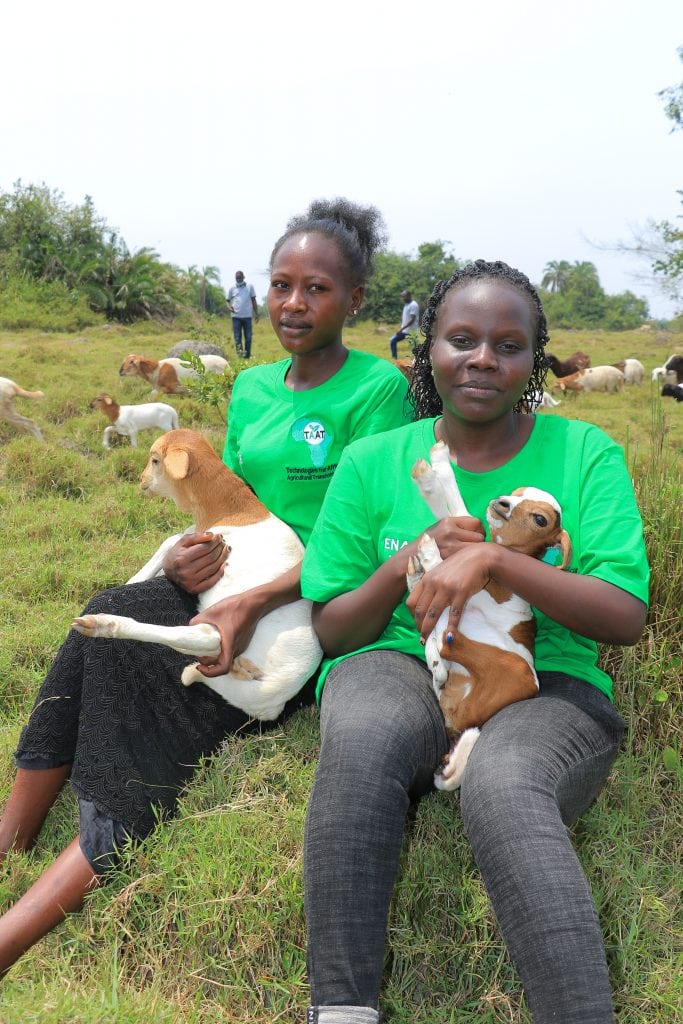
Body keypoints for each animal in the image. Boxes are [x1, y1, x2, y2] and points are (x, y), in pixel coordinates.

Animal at [72, 430, 323, 720]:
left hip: (229, 634)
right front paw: (134, 580)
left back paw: (101, 624)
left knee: (203, 639)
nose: (141, 480)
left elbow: (170, 540)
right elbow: (171, 540)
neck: (232, 509)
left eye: (155, 460)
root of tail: (275, 697)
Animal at [405, 442, 573, 790]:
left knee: (448, 642)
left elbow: (460, 517)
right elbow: (460, 515)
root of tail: (462, 720)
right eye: (518, 493)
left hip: (511, 665)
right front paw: (435, 468)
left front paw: (433, 475)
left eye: (540, 518)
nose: (502, 503)